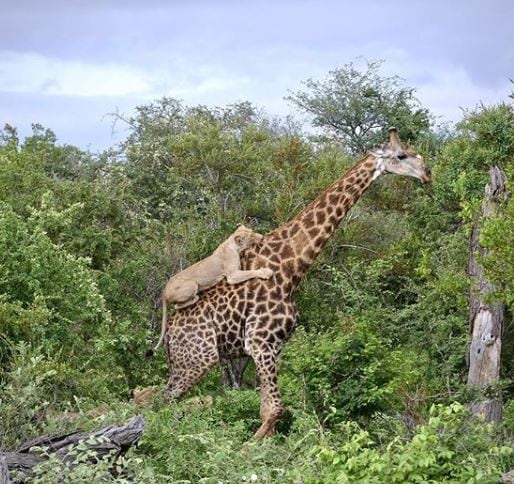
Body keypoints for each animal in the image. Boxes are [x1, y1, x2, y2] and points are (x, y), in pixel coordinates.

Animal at [156, 129, 428, 438]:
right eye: (401, 155)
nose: (427, 173)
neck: (291, 268)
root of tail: (170, 332)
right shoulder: (260, 342)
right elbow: (275, 408)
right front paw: (251, 447)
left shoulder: (274, 346)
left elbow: (267, 408)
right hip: (199, 357)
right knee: (163, 400)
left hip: (185, 362)